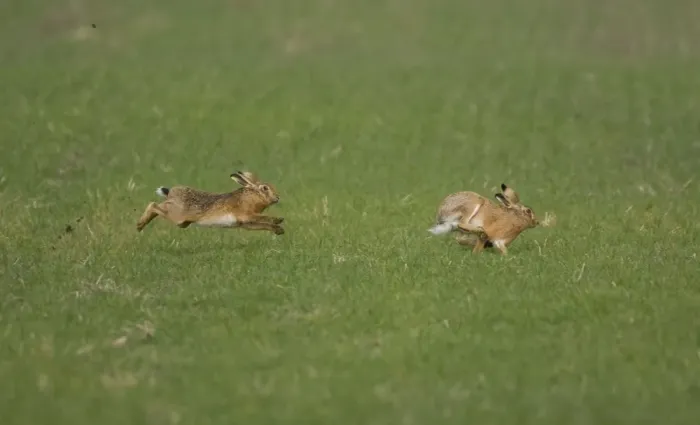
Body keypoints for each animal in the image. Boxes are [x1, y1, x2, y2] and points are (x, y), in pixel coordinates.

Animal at [136, 171, 284, 235]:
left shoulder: (245, 223)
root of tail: (171, 192)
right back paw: (139, 225)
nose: (277, 197)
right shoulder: (247, 215)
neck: (251, 197)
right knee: (153, 205)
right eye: (264, 188)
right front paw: (279, 220)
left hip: (181, 221)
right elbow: (264, 218)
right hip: (177, 216)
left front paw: (279, 230)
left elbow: (262, 225)